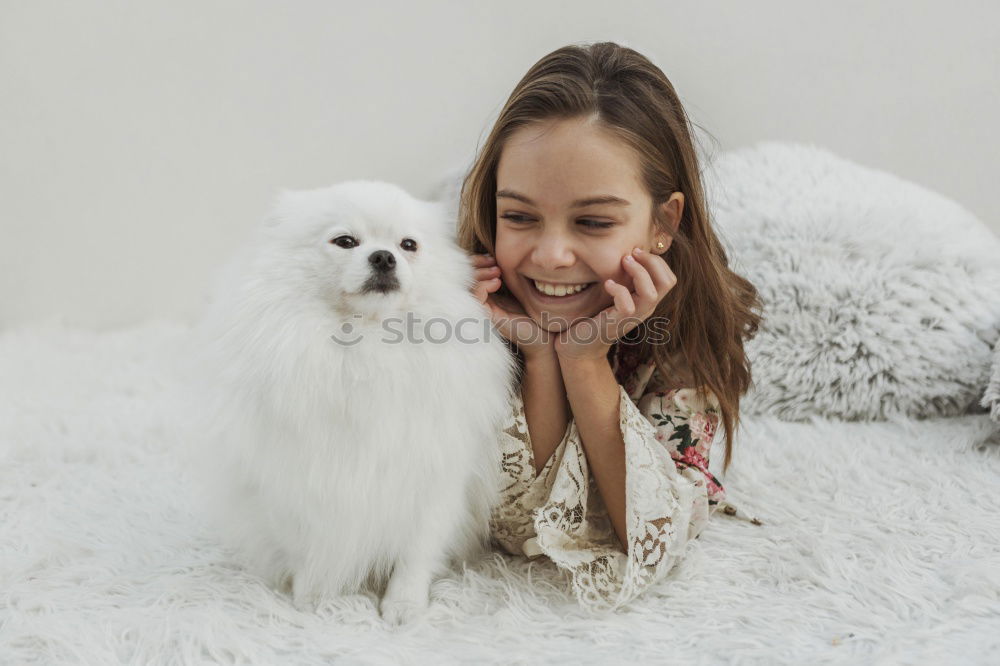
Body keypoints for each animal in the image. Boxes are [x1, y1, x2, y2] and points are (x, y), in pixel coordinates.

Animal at [185, 178, 520, 624]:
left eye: (409, 245)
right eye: (345, 241)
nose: (384, 257)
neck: (367, 342)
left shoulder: (434, 479)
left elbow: (416, 552)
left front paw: (403, 604)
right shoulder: (298, 481)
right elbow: (309, 547)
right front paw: (313, 598)